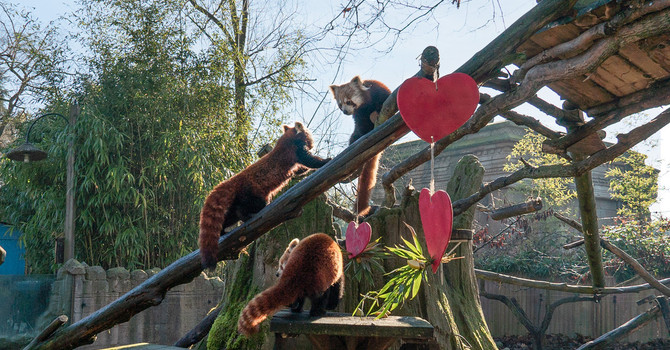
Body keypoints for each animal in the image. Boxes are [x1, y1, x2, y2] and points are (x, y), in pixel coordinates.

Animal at [198, 123, 332, 270]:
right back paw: (246, 216)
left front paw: (304, 170)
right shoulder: (295, 149)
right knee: (249, 207)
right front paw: (326, 160)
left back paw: (222, 230)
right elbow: (309, 160)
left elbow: (299, 169)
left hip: (237, 198)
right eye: (310, 136)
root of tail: (234, 180)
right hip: (252, 193)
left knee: (230, 216)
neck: (287, 138)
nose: (312, 144)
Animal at [330, 76, 392, 216]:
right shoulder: (359, 116)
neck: (366, 105)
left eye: (348, 101)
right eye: (340, 105)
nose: (345, 111)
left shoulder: (380, 92)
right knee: (354, 137)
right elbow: (361, 127)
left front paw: (376, 113)